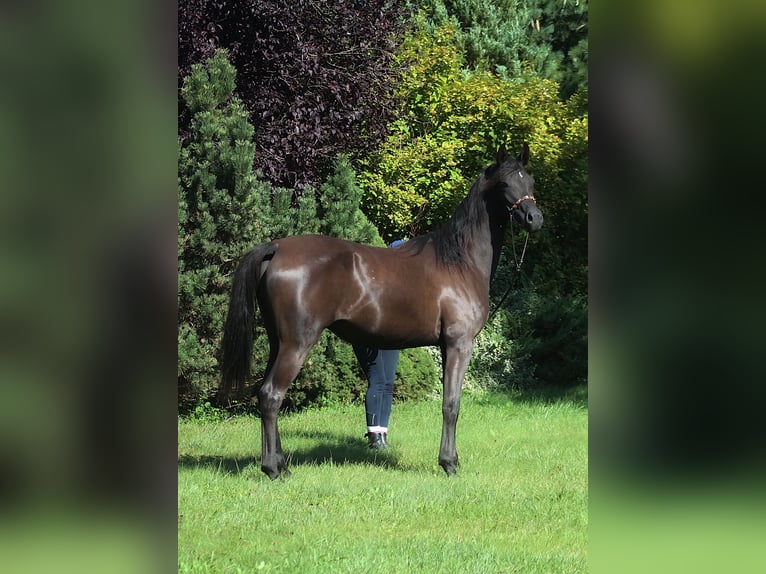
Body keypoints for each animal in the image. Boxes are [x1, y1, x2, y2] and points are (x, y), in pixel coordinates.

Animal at [218, 145, 544, 479]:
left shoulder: (447, 346)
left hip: (277, 343)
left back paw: (279, 464)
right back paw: (274, 470)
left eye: (530, 181)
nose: (534, 218)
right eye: (504, 183)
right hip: (296, 345)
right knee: (272, 395)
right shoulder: (459, 344)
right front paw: (449, 463)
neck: (458, 262)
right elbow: (451, 404)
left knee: (263, 394)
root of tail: (276, 248)